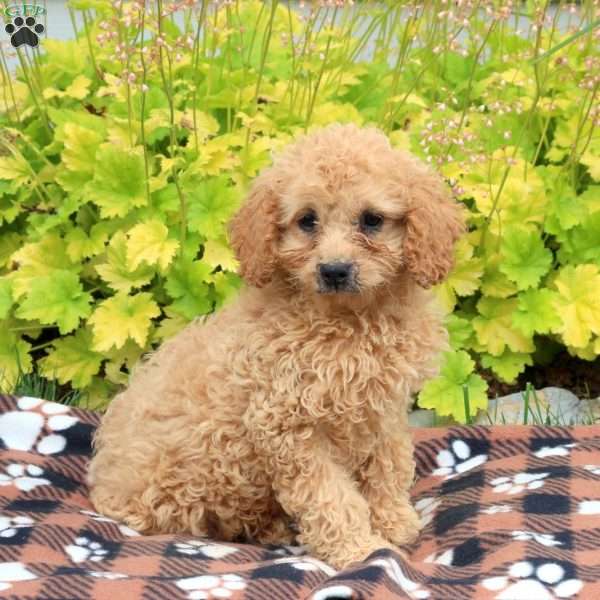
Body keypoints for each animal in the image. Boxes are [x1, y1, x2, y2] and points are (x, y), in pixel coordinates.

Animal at [88, 122, 464, 568]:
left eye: (372, 220)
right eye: (307, 220)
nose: (334, 270)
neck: (348, 320)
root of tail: (104, 485)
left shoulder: (382, 409)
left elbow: (388, 465)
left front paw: (394, 522)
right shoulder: (286, 423)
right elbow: (329, 496)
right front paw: (360, 550)